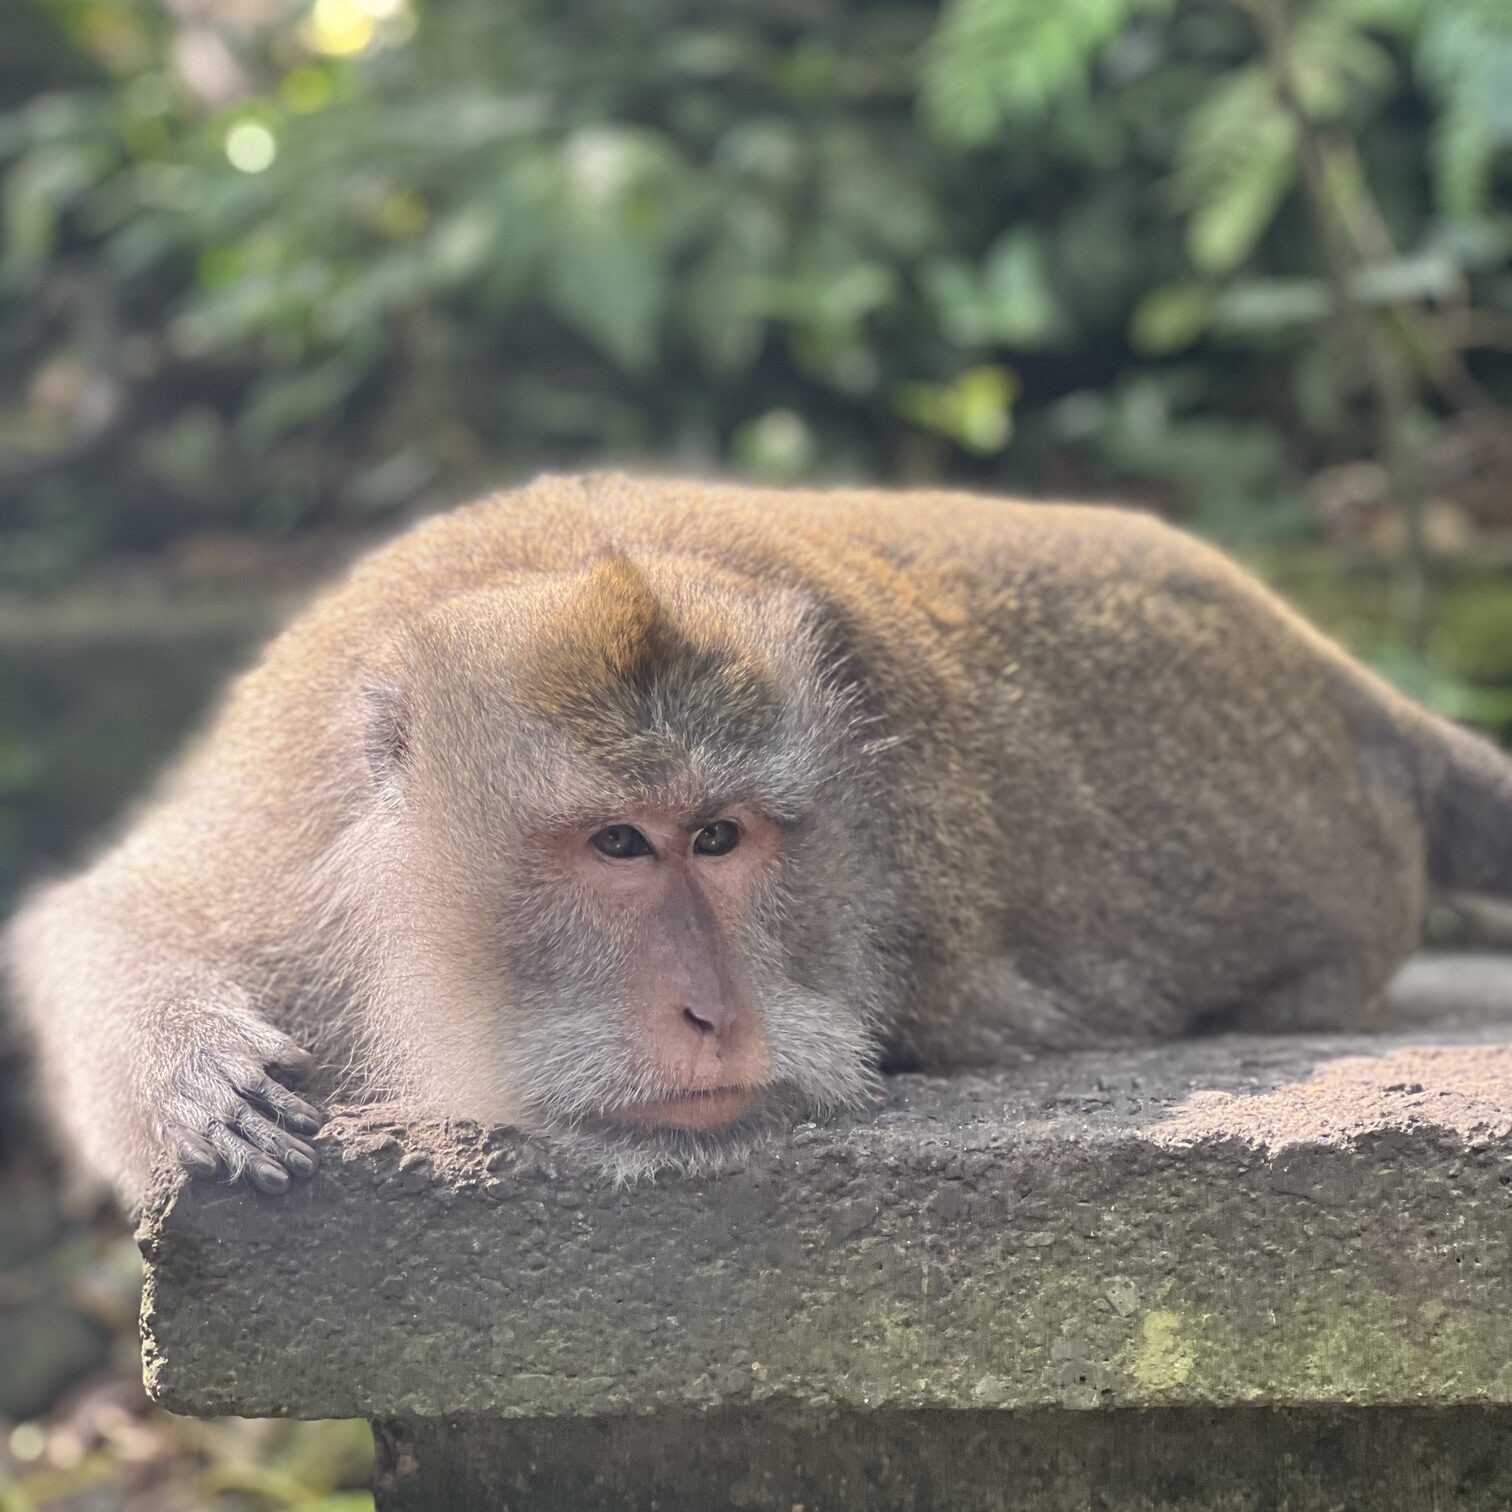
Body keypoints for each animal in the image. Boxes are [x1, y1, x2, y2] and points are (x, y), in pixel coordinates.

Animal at [8, 471, 1512, 1203]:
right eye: (621, 845)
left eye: (719, 838)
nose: (713, 1013)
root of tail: (1330, 672)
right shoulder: (288, 824)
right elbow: (102, 916)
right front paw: (191, 1071)